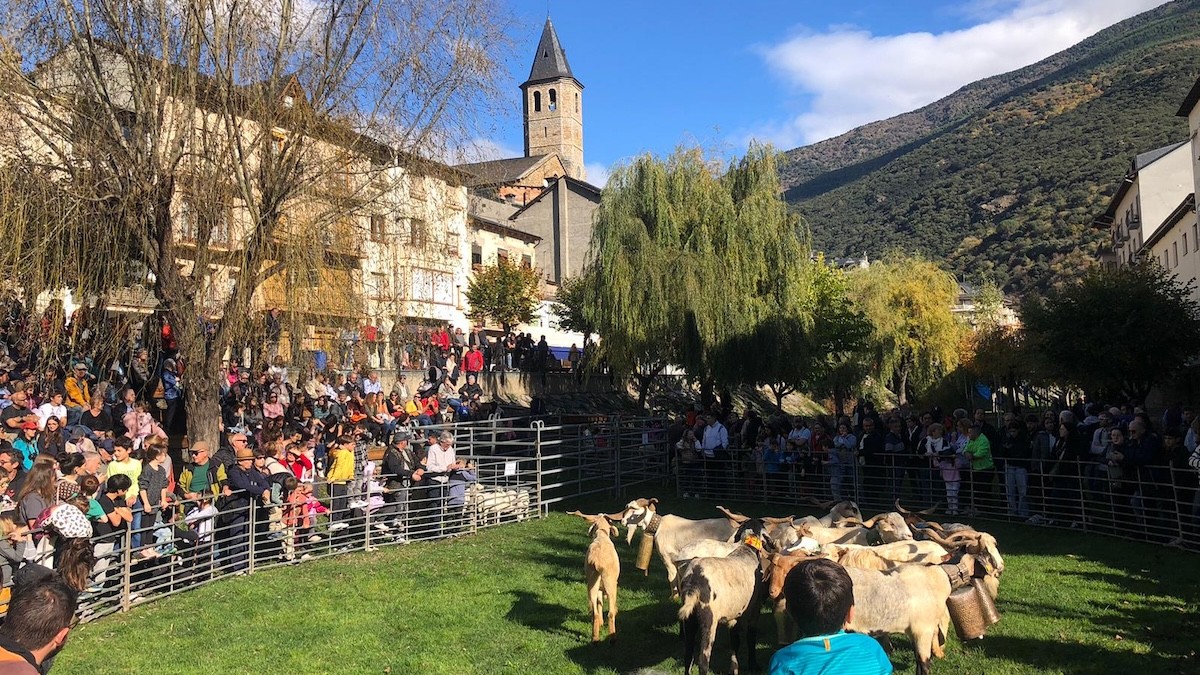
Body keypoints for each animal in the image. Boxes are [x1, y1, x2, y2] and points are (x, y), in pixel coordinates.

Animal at [566, 509, 619, 638]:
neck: (601, 535)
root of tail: (597, 562)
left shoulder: (598, 588)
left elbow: (599, 604)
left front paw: (601, 623)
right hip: (610, 584)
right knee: (610, 613)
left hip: (592, 584)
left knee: (595, 613)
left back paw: (595, 638)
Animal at [681, 516, 772, 667]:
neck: (747, 549)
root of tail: (694, 578)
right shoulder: (754, 608)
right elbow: (751, 636)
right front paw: (753, 664)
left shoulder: (734, 615)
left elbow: (735, 642)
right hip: (708, 620)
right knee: (703, 659)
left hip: (689, 620)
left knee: (688, 656)